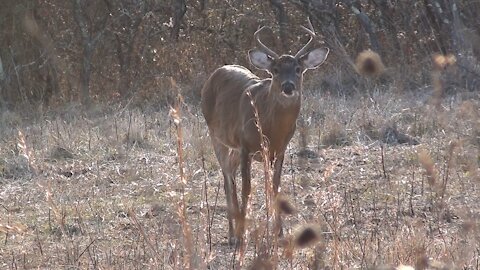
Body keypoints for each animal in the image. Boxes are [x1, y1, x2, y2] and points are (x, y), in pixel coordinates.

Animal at [201, 21, 328, 245]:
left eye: (298, 69)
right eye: (275, 70)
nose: (288, 86)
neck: (271, 127)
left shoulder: (279, 150)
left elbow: (274, 188)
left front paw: (279, 232)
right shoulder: (245, 146)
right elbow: (247, 188)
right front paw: (243, 234)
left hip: (234, 149)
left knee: (230, 174)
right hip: (217, 137)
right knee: (227, 179)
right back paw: (233, 235)